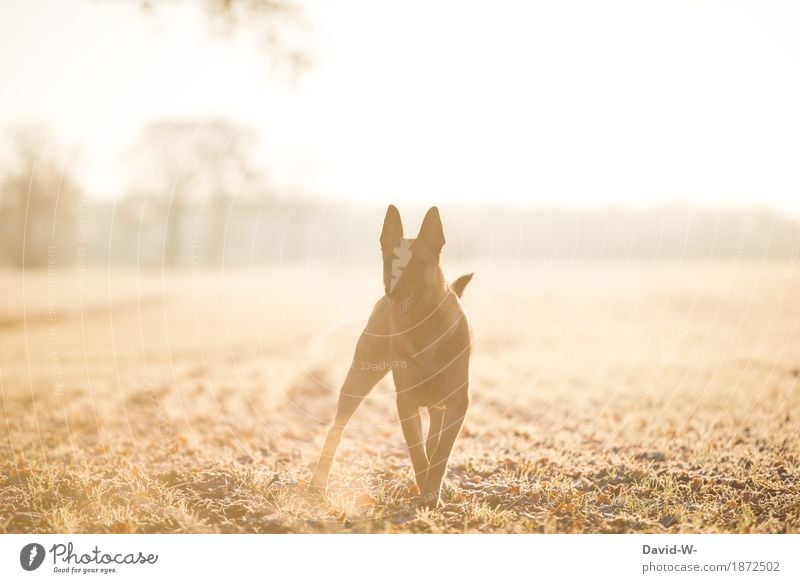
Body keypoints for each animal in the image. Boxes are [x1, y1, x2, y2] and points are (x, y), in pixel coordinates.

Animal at [310, 208, 472, 508]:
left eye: (417, 264)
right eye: (388, 261)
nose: (392, 292)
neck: (422, 327)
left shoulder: (457, 401)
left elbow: (441, 452)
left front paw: (432, 492)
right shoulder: (405, 400)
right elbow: (417, 452)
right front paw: (425, 490)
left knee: (435, 434)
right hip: (358, 380)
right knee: (336, 430)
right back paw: (318, 482)